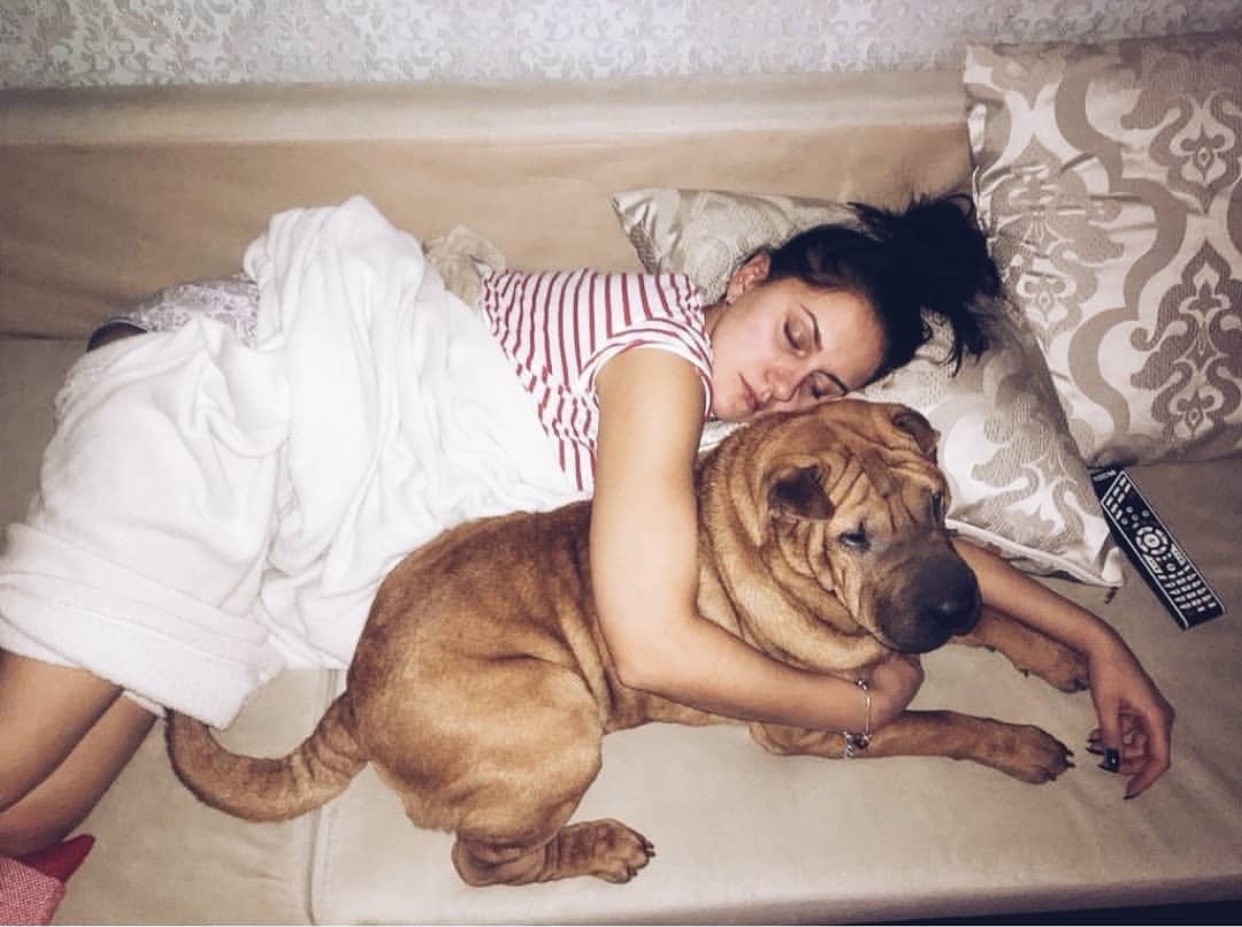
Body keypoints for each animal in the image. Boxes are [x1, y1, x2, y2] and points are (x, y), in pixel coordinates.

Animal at [167, 400, 1087, 884]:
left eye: (939, 502)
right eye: (855, 538)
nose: (948, 601)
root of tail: (354, 692)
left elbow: (1001, 620)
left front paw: (1061, 652)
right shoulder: (816, 721)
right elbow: (943, 722)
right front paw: (1024, 742)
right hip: (561, 713)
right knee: (485, 861)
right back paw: (602, 844)